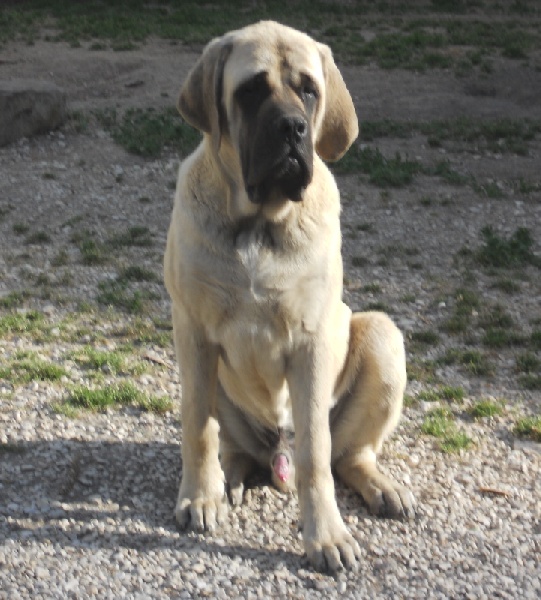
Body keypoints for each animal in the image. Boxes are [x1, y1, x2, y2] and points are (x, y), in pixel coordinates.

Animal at [164, 21, 415, 572]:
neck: (259, 224)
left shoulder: (312, 343)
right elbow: (197, 427)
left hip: (382, 336)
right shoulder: (194, 332)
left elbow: (316, 455)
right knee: (228, 442)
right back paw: (227, 481)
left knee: (347, 455)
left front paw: (327, 537)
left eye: (308, 89)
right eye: (251, 91)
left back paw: (381, 487)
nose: (293, 130)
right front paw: (198, 497)